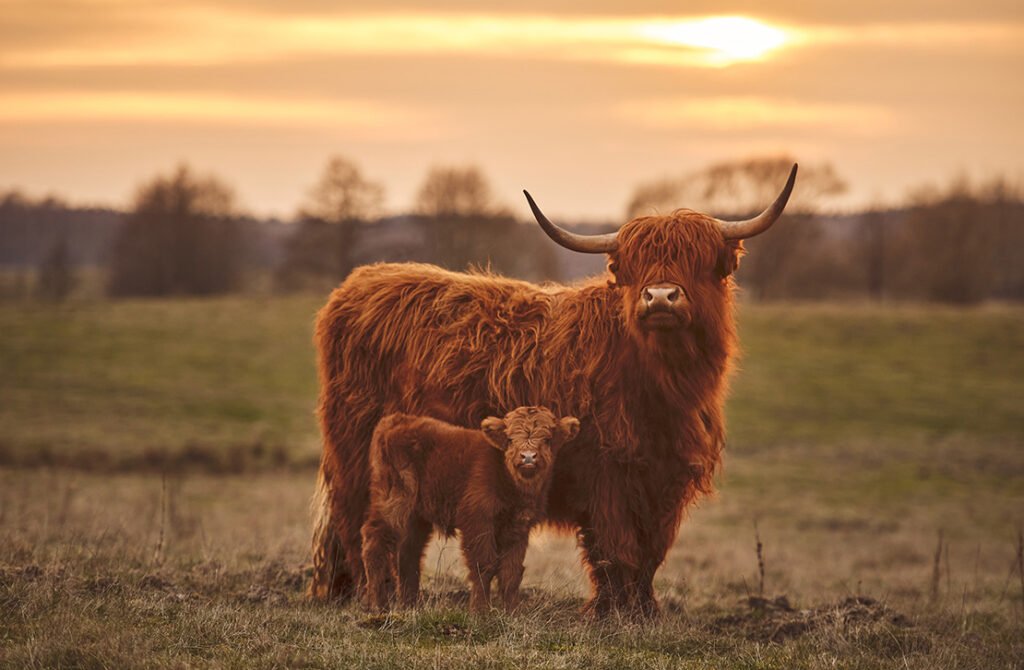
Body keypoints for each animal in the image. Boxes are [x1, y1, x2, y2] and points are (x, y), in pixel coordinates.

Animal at [361, 407, 580, 612]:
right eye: (510, 439)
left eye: (547, 439)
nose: (528, 457)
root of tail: (395, 420)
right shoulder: (478, 521)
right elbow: (484, 565)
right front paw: (479, 611)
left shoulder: (518, 527)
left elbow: (511, 571)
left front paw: (512, 612)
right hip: (393, 503)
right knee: (375, 541)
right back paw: (377, 605)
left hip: (416, 517)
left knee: (409, 554)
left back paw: (410, 606)